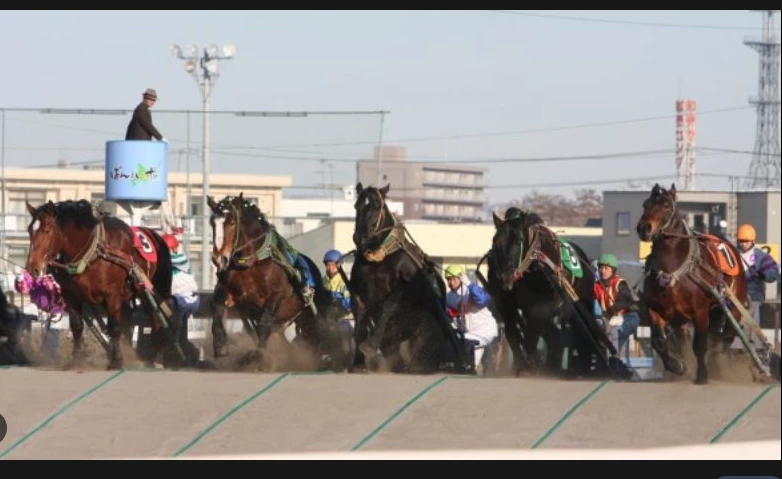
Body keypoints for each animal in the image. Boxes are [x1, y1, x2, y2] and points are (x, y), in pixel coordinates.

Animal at [25, 199, 178, 372]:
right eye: (30, 230)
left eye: (47, 230)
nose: (33, 267)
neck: (94, 254)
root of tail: (156, 235)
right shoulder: (71, 295)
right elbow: (77, 326)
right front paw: (77, 359)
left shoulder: (112, 295)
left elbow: (114, 327)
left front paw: (116, 360)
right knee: (128, 319)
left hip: (152, 290)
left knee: (157, 318)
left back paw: (154, 358)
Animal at [208, 194, 346, 372]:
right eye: (212, 222)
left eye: (231, 222)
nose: (219, 259)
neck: (252, 262)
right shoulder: (229, 291)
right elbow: (217, 308)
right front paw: (220, 345)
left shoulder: (276, 295)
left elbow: (264, 325)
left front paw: (258, 356)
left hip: (309, 314)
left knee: (318, 334)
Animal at [348, 184, 466, 376]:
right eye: (357, 205)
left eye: (376, 207)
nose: (359, 237)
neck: (379, 259)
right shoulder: (357, 292)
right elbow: (359, 325)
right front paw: (358, 363)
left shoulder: (403, 289)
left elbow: (388, 307)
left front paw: (370, 346)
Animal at [486, 208, 620, 376]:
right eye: (495, 240)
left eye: (518, 241)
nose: (504, 276)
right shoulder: (505, 304)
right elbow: (513, 334)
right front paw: (521, 365)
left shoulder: (541, 307)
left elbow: (531, 335)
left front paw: (531, 366)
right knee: (555, 336)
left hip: (580, 302)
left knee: (582, 333)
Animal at [636, 184, 752, 386]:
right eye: (645, 204)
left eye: (666, 205)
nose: (644, 228)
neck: (674, 270)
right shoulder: (656, 309)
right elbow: (659, 342)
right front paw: (678, 366)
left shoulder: (700, 312)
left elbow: (700, 345)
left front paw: (703, 374)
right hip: (685, 317)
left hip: (732, 307)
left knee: (725, 338)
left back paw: (717, 366)